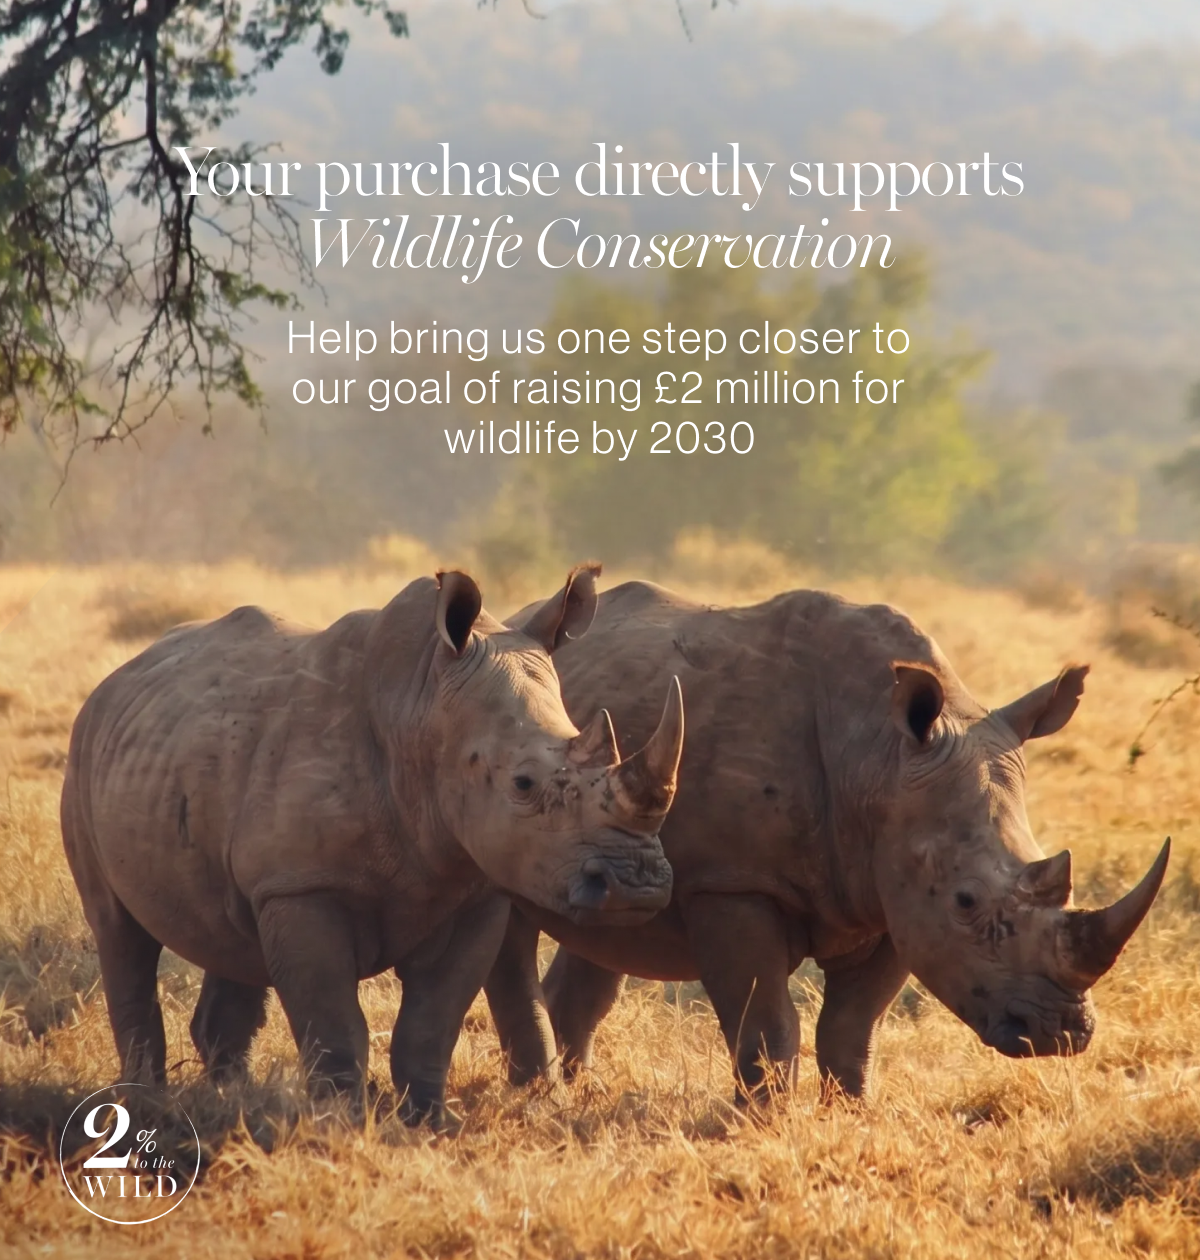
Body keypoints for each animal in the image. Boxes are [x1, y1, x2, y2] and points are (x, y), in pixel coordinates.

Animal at [61, 566, 683, 1123]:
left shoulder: (475, 890)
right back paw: (147, 1101)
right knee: (119, 930)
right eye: (523, 784)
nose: (636, 885)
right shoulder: (303, 888)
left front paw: (430, 1122)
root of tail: (116, 679)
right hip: (84, 753)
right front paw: (340, 1120)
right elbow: (333, 1019)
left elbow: (432, 1021)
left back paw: (231, 1099)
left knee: (230, 935)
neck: (422, 711)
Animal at [485, 579, 1170, 1103]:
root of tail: (516, 620)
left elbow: (850, 1026)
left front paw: (851, 1112)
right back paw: (536, 1096)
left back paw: (572, 1092)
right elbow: (767, 1023)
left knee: (605, 938)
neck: (879, 756)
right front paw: (764, 1121)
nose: (1060, 1033)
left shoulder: (892, 893)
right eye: (966, 901)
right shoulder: (733, 883)